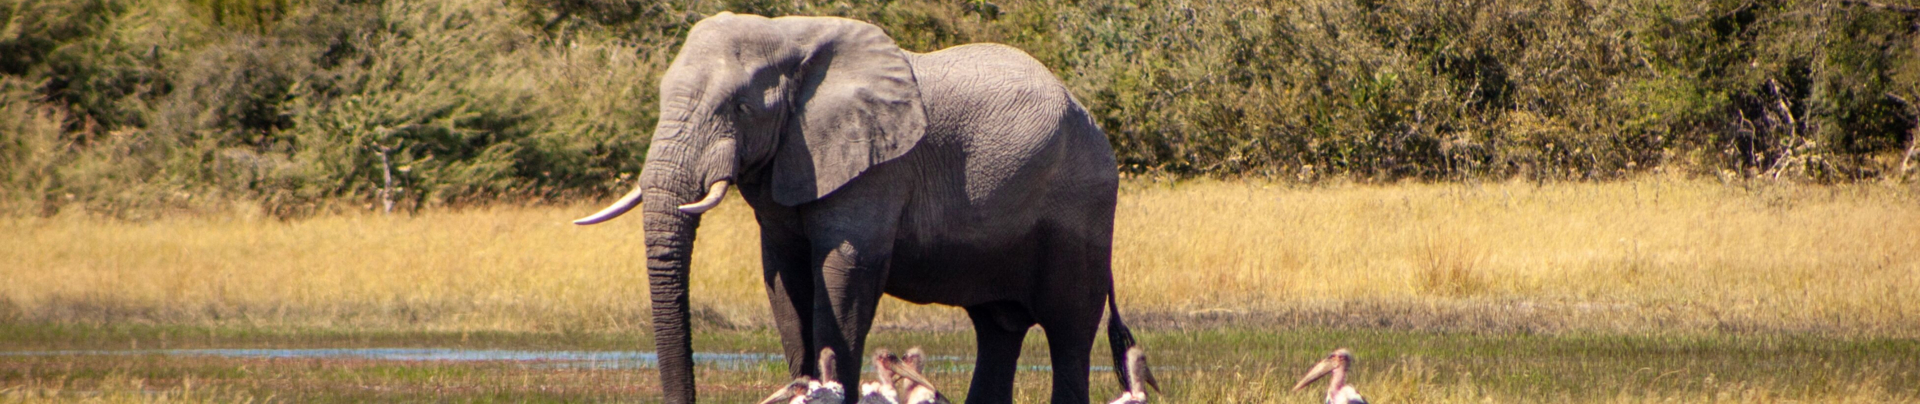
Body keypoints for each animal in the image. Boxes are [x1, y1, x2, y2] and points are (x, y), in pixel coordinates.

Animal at [573, 12, 1145, 404]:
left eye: (739, 107)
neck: (793, 39)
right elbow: (784, 278)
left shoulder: (876, 166)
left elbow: (845, 269)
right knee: (997, 329)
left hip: (1083, 202)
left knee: (1068, 330)